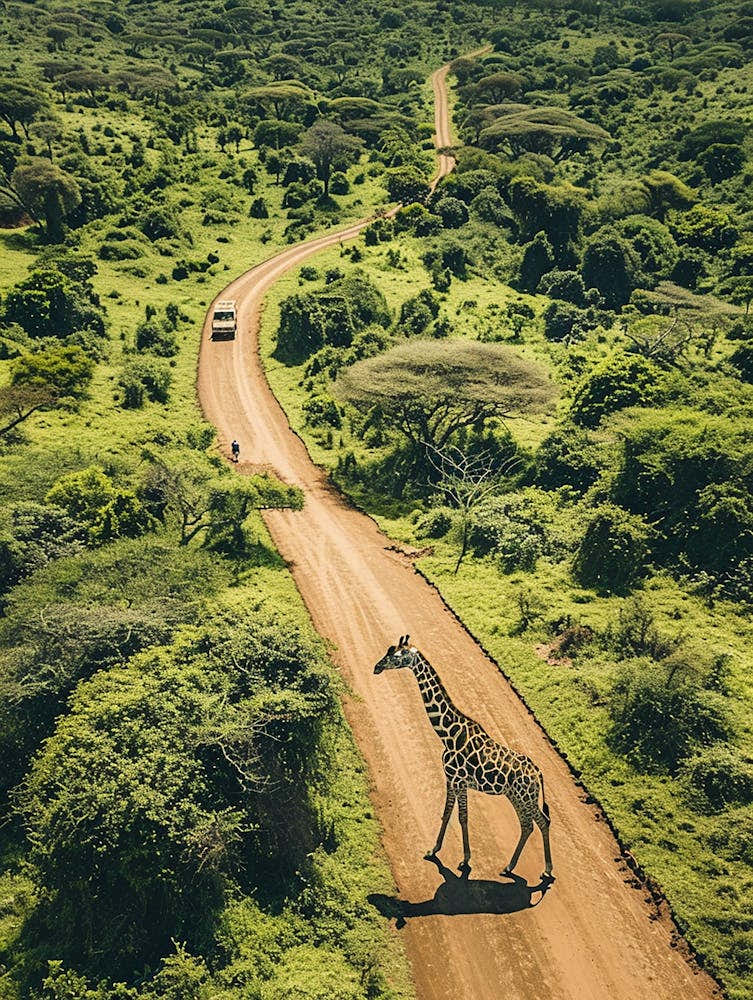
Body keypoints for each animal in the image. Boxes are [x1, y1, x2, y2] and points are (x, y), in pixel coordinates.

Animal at [374, 634, 553, 879]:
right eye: (388, 650)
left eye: (397, 655)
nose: (376, 667)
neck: (447, 734)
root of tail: (539, 774)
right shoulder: (451, 779)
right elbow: (447, 813)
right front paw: (434, 850)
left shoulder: (458, 780)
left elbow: (461, 817)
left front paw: (465, 860)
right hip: (517, 796)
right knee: (529, 825)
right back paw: (510, 866)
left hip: (525, 797)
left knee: (541, 821)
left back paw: (544, 869)